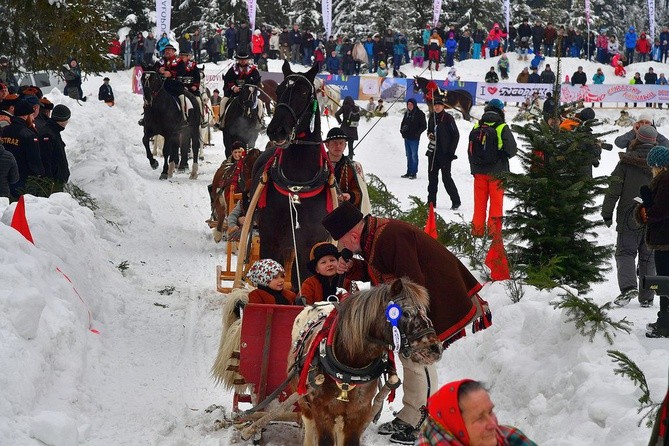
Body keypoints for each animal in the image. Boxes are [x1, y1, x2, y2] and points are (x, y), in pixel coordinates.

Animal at [288, 278, 440, 446]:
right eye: (406, 313)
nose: (436, 348)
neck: (349, 367)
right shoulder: (322, 412)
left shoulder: (358, 414)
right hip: (303, 400)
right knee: (308, 423)